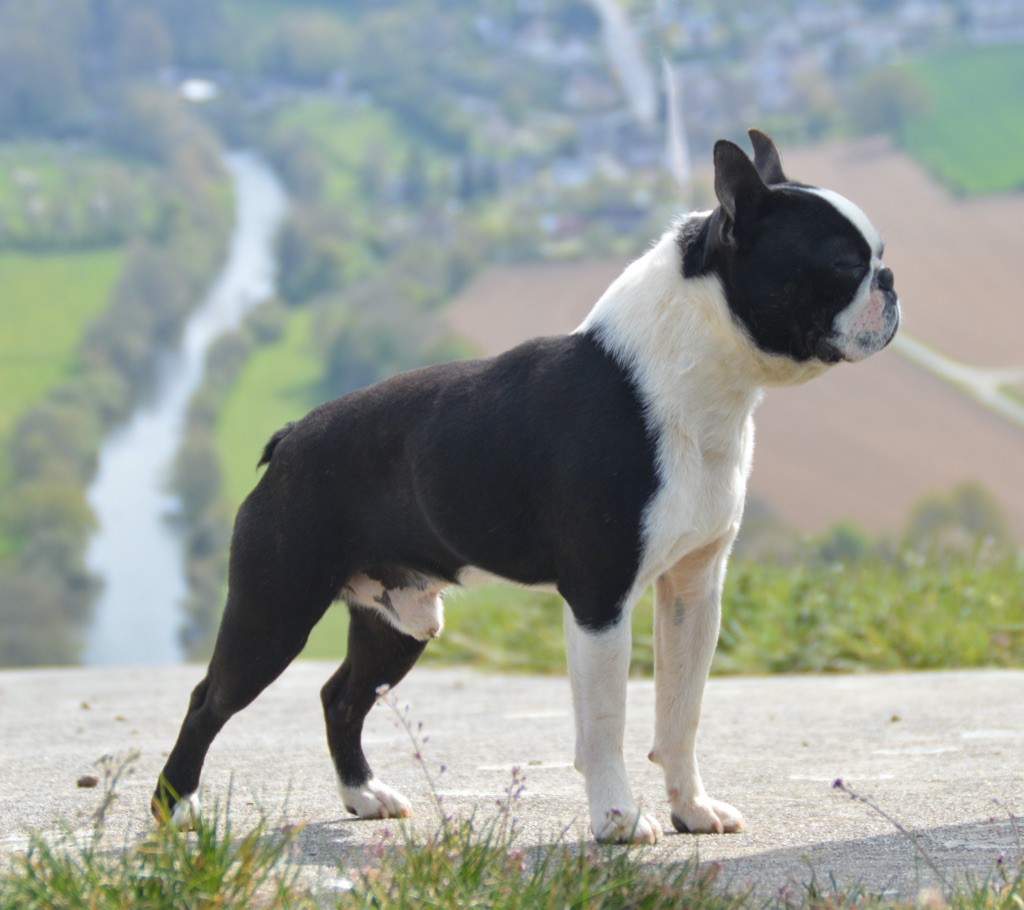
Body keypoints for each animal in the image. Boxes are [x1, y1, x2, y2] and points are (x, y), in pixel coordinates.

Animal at [151, 131, 897, 843]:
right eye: (841, 264)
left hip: (399, 620)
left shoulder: (693, 588)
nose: (890, 279)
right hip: (275, 607)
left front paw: (692, 808)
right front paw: (618, 822)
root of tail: (290, 439)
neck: (699, 381)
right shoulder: (600, 598)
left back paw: (364, 795)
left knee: (341, 696)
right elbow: (606, 720)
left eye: (878, 255)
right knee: (209, 699)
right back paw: (176, 808)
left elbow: (680, 713)